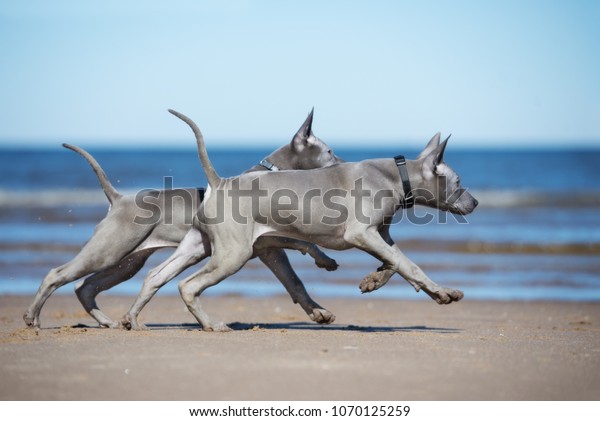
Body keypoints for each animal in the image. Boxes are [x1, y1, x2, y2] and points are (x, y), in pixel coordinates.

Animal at [126, 110, 478, 332]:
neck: (396, 175)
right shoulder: (360, 234)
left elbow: (395, 262)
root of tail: (220, 182)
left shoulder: (380, 235)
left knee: (156, 276)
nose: (474, 203)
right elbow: (408, 264)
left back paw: (133, 319)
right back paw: (211, 324)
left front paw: (373, 281)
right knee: (188, 285)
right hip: (233, 254)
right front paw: (441, 293)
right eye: (459, 182)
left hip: (198, 245)